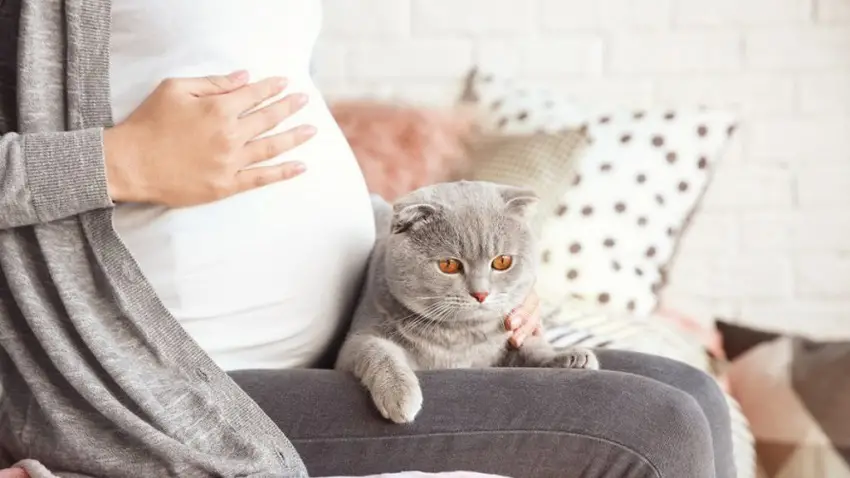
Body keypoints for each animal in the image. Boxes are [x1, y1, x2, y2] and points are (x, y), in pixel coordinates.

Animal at [332, 181, 596, 424]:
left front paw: (569, 356)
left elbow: (532, 348)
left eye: (502, 261)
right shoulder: (354, 343)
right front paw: (400, 395)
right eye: (448, 265)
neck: (459, 337)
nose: (481, 293)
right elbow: (377, 349)